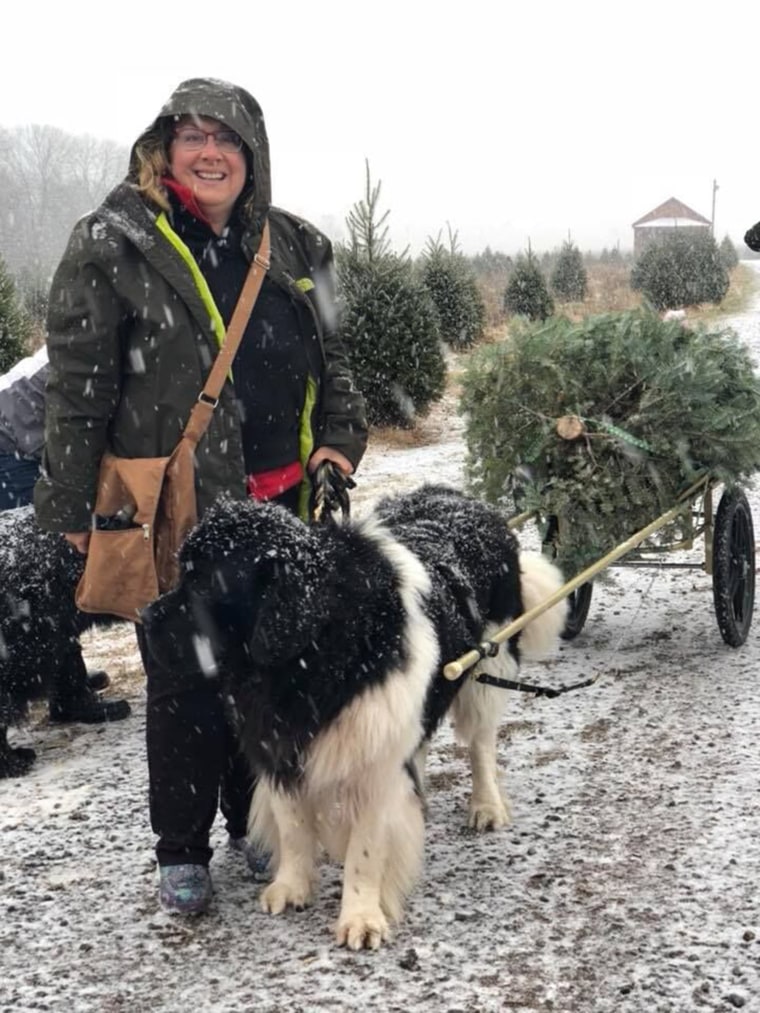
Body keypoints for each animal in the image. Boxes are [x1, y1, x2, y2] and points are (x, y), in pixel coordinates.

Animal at [142, 488, 567, 948]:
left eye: (203, 582)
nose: (143, 619)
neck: (311, 657)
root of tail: (465, 500)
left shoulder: (374, 761)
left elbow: (365, 848)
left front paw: (361, 916)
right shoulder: (279, 741)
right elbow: (292, 825)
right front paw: (291, 886)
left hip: (486, 667)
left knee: (481, 744)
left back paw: (486, 805)